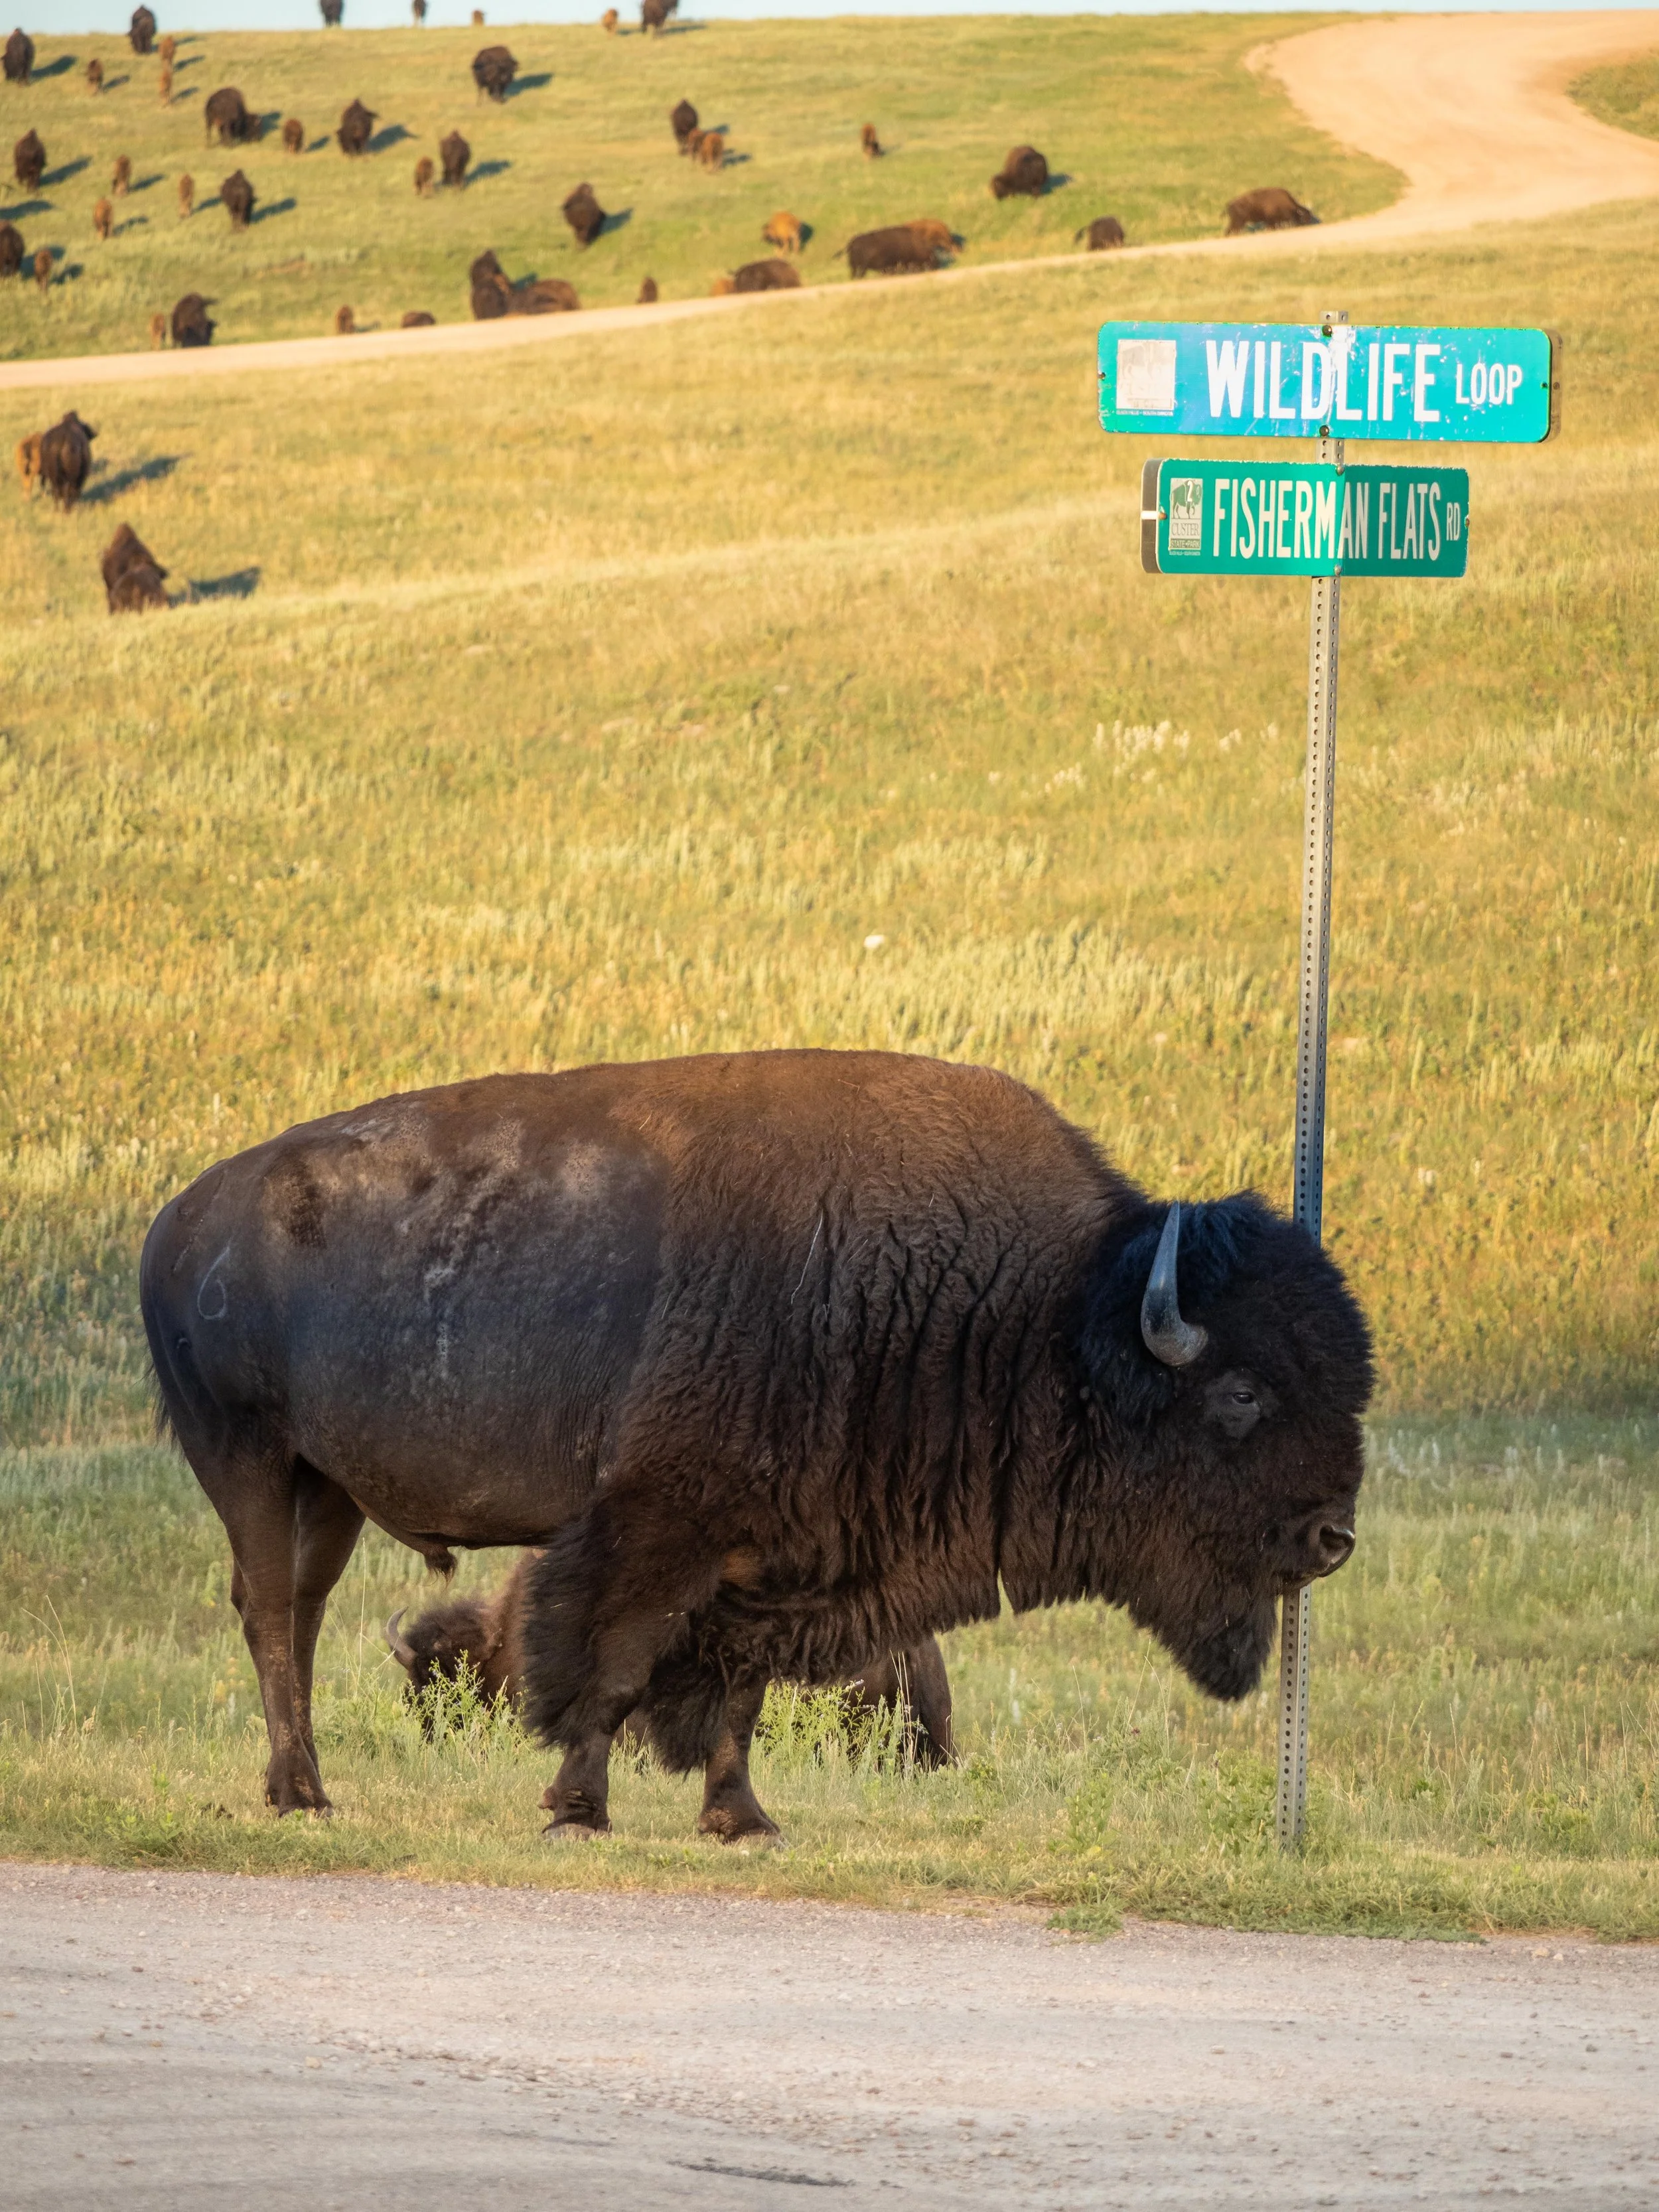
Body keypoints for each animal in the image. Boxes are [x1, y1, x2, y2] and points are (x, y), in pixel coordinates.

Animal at [1225, 186, 1317, 235]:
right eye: (1304, 217)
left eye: (1310, 216)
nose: (1308, 224)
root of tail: (1230, 204)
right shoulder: (1271, 220)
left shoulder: (1275, 221)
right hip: (1238, 222)